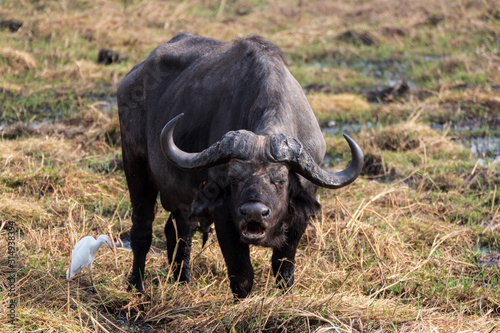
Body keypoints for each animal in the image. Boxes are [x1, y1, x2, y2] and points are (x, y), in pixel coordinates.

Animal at [117, 32, 364, 296]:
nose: (254, 212)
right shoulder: (225, 217)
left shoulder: (300, 218)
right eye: (234, 178)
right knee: (142, 229)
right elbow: (242, 274)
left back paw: (183, 281)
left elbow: (283, 267)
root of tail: (133, 77)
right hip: (135, 166)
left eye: (280, 180)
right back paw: (136, 285)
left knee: (179, 233)